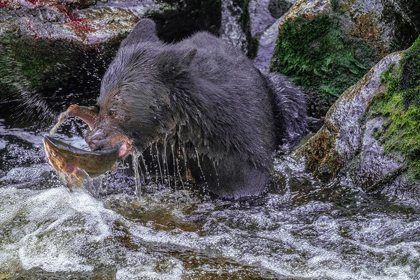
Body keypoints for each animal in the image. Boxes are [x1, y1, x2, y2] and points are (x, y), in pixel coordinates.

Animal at [83, 18, 306, 198]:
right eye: (98, 105)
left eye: (115, 111)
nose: (94, 140)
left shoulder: (236, 154)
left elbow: (244, 182)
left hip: (278, 94)